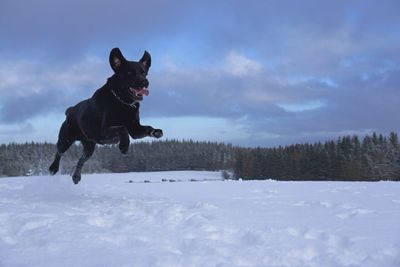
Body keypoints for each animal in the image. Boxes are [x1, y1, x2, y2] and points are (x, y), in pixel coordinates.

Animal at [48, 48, 162, 184]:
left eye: (144, 73)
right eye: (130, 72)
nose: (145, 82)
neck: (123, 102)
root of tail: (70, 110)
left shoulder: (134, 129)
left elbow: (147, 128)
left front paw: (156, 132)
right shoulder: (103, 131)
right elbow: (122, 128)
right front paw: (124, 146)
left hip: (89, 145)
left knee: (82, 158)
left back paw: (76, 177)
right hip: (66, 139)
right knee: (59, 152)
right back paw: (53, 168)